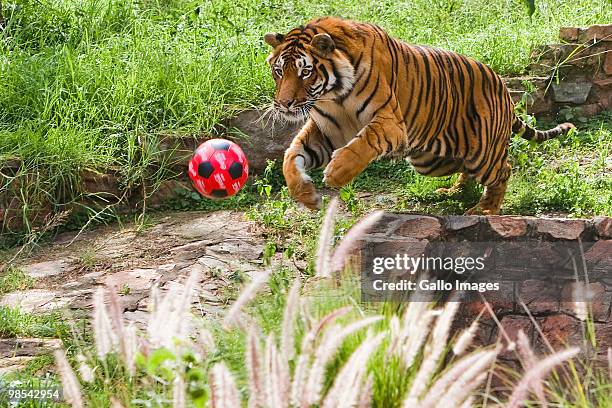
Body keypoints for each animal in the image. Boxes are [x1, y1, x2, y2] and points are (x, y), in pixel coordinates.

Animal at [262, 17, 572, 215]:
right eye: (278, 71)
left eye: (305, 71)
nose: (284, 104)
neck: (334, 95)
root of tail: (503, 85)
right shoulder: (326, 131)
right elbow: (291, 157)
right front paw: (306, 195)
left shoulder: (390, 123)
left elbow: (364, 142)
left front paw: (337, 174)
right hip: (432, 160)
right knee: (467, 171)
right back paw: (455, 192)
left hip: (482, 152)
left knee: (503, 170)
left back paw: (485, 209)